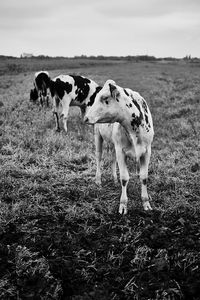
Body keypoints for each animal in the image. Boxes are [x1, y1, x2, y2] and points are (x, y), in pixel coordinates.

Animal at [83, 79, 154, 214]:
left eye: (105, 98)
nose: (86, 118)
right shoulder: (121, 151)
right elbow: (125, 178)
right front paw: (123, 205)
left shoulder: (147, 151)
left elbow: (144, 177)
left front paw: (146, 203)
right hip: (97, 136)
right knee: (99, 157)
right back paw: (98, 180)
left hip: (113, 144)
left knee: (112, 159)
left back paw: (114, 180)